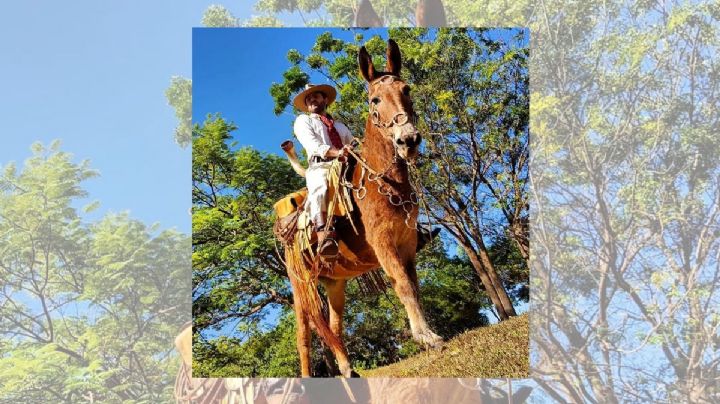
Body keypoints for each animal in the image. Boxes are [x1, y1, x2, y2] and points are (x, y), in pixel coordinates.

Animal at [282, 39, 443, 378]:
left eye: (406, 89)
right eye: (375, 99)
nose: (408, 139)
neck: (385, 183)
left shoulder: (408, 244)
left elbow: (413, 287)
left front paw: (426, 332)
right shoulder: (383, 245)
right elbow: (403, 286)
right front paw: (427, 337)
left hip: (335, 283)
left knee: (334, 325)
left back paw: (347, 368)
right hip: (301, 286)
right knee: (305, 334)